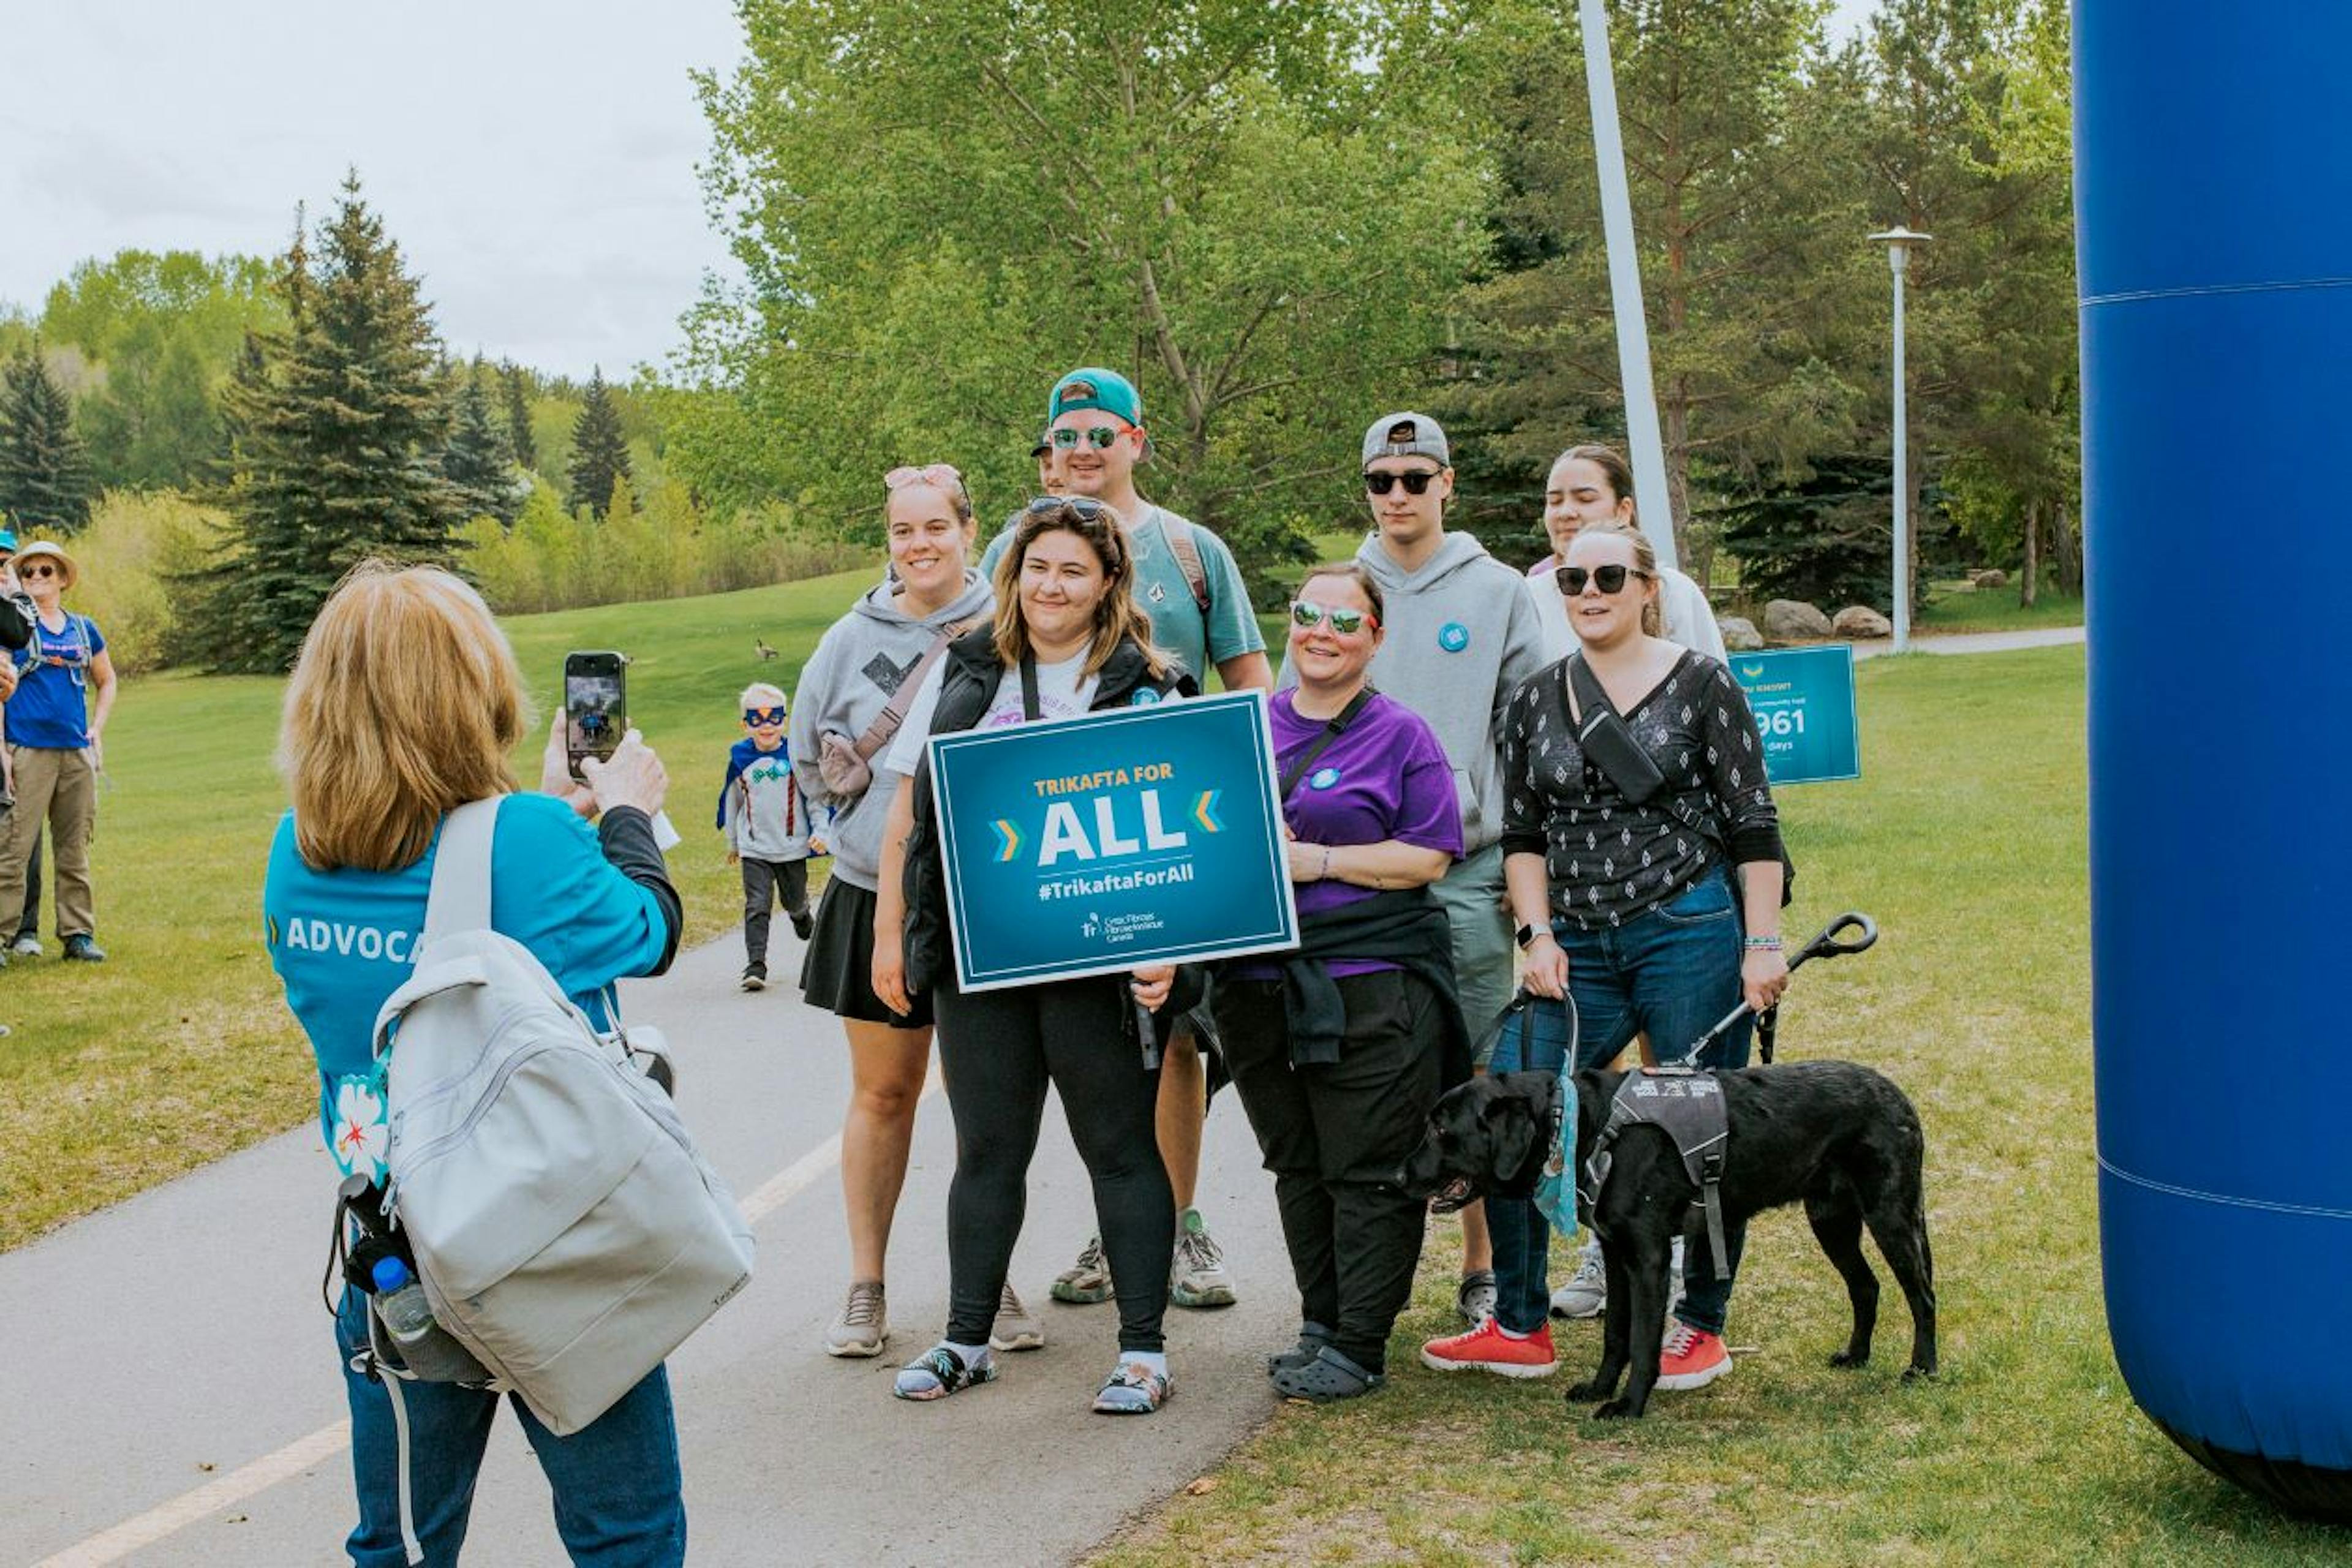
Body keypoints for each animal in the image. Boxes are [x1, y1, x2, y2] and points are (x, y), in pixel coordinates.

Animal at [1401, 1062, 1938, 1420]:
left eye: (1441, 1128)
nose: (1398, 1175)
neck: (1585, 1126)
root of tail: (1898, 1094)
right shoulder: (1617, 1255)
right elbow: (1616, 1336)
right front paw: (1599, 1389)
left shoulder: (1649, 1260)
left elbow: (1642, 1343)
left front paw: (1629, 1405)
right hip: (1831, 1220)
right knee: (1866, 1286)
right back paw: (1857, 1357)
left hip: (1890, 1215)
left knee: (1923, 1295)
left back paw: (1922, 1370)